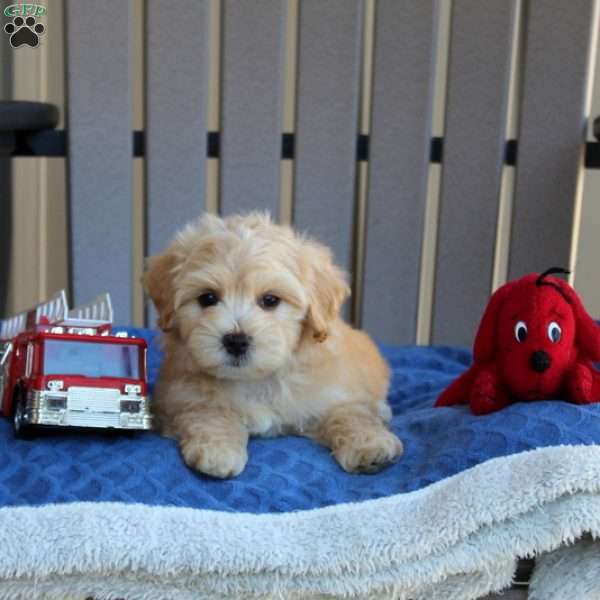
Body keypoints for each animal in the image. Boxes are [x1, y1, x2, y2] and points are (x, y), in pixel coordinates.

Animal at [143, 211, 400, 478]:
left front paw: (370, 445)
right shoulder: (182, 397)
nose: (236, 341)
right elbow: (208, 414)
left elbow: (350, 413)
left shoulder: (337, 392)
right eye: (208, 298)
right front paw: (217, 450)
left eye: (270, 300)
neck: (256, 379)